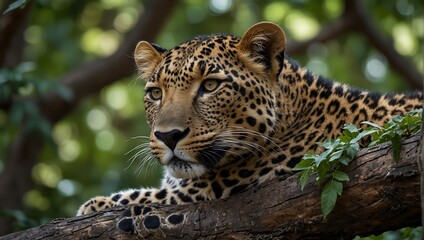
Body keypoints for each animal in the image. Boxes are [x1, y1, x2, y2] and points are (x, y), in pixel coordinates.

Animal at [78, 21, 422, 235]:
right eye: (155, 93)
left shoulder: (212, 190)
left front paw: (92, 206)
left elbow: (144, 197)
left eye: (210, 86)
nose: (168, 136)